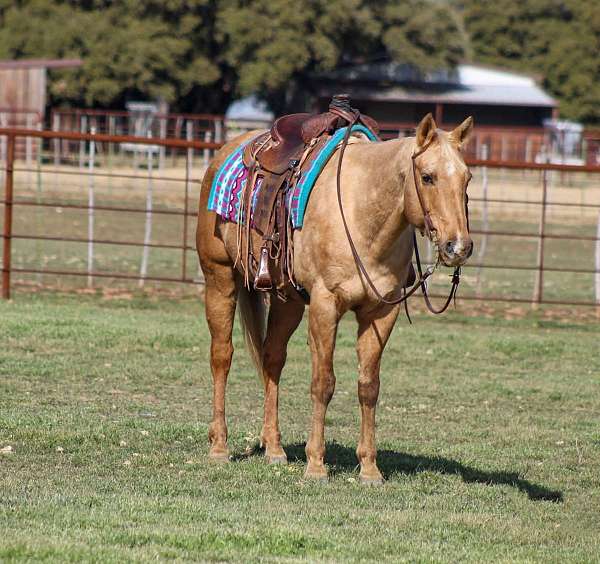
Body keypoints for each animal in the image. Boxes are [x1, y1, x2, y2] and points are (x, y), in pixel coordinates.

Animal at [197, 113, 474, 484]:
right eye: (427, 177)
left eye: (467, 178)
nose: (458, 246)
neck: (363, 215)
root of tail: (229, 148)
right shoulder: (326, 306)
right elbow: (323, 383)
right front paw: (316, 465)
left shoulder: (380, 312)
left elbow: (369, 386)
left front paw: (369, 468)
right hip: (220, 278)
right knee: (221, 356)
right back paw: (219, 447)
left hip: (288, 301)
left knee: (272, 358)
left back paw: (274, 448)